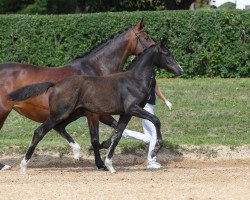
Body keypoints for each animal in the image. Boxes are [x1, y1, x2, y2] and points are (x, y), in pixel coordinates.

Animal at [0, 18, 155, 170]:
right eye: (146, 37)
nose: (156, 49)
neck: (95, 69)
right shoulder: (93, 114)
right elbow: (95, 138)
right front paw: (100, 163)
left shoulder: (96, 113)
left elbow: (119, 129)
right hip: (4, 111)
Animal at [8, 39, 184, 173]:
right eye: (167, 54)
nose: (180, 70)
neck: (134, 80)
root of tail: (55, 84)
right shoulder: (132, 109)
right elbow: (156, 120)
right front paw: (156, 148)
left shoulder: (125, 114)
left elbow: (117, 135)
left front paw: (109, 165)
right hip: (60, 114)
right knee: (39, 132)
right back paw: (23, 166)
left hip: (73, 113)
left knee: (59, 127)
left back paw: (77, 153)